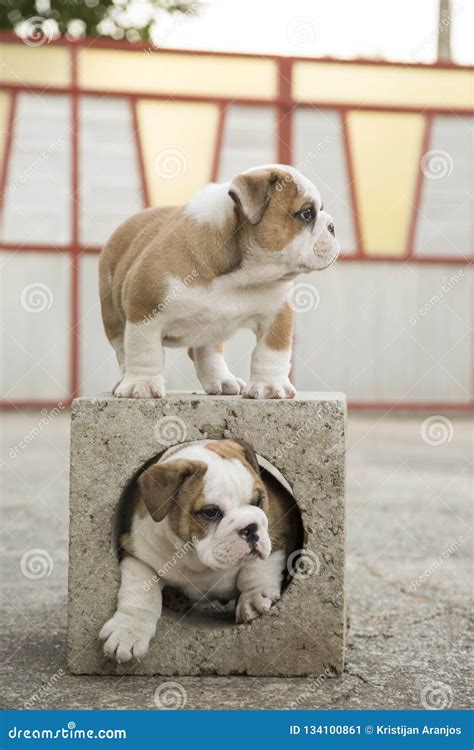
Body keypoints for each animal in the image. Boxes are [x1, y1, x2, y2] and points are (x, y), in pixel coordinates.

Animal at [99, 162, 336, 402]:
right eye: (307, 214)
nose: (332, 226)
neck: (238, 276)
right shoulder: (144, 311)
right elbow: (145, 353)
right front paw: (143, 384)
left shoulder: (277, 313)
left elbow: (271, 352)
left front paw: (270, 386)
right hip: (112, 315)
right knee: (123, 350)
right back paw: (124, 379)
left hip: (211, 329)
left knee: (207, 352)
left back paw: (222, 380)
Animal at [100, 440, 302, 664]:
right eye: (211, 512)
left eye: (258, 501)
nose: (249, 528)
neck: (195, 559)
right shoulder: (136, 553)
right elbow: (141, 592)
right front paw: (128, 631)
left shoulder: (279, 528)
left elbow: (259, 568)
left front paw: (254, 596)